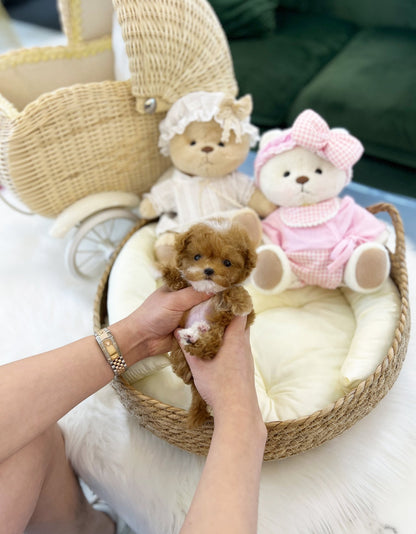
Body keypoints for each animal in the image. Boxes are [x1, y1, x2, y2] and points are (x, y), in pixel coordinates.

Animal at [163, 218, 256, 432]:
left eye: (227, 263)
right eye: (197, 256)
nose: (208, 271)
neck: (207, 291)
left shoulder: (241, 316)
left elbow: (232, 291)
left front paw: (242, 302)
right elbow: (180, 282)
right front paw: (169, 272)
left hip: (218, 331)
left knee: (209, 348)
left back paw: (197, 335)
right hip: (178, 353)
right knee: (185, 368)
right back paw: (193, 336)